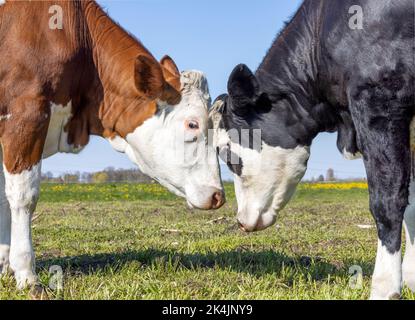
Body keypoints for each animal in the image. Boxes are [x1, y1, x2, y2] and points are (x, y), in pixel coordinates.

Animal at [0, 0, 224, 290]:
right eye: (193, 124)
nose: (219, 195)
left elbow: (4, 198)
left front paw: (4, 266)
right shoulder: (26, 115)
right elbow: (24, 197)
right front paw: (27, 274)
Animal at [211, 0, 415, 300]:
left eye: (227, 155)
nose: (241, 221)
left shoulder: (379, 103)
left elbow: (387, 201)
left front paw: (385, 287)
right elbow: (411, 202)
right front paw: (411, 277)